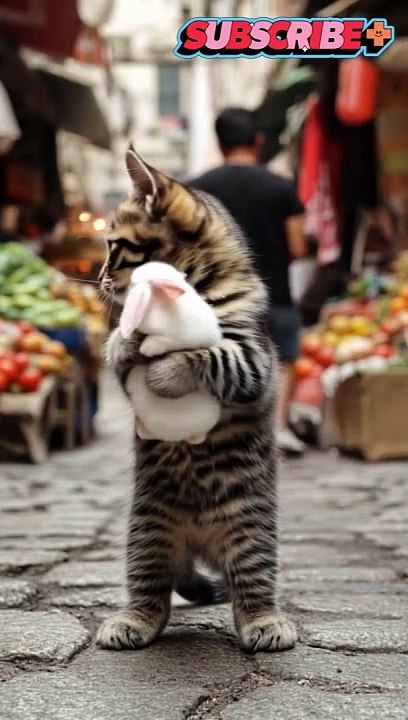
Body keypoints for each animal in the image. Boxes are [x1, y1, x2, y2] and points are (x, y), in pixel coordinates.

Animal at [118, 262, 222, 444]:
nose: (127, 289)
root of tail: (173, 437)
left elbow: (165, 340)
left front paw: (148, 347)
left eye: (132, 283)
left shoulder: (186, 336)